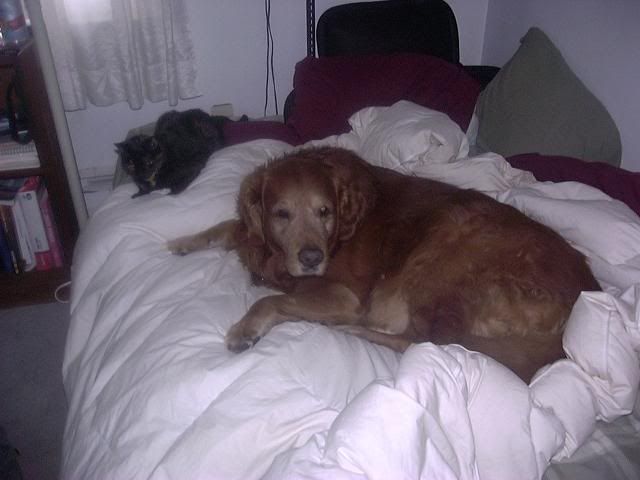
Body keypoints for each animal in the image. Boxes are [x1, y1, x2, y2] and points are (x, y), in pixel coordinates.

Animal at [168, 146, 600, 382]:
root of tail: (584, 294)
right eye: (281, 214)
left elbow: (269, 300)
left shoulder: (342, 294)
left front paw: (245, 328)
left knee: (428, 341)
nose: (312, 258)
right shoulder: (253, 235)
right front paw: (182, 242)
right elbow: (227, 228)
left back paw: (355, 331)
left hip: (442, 255)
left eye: (324, 212)